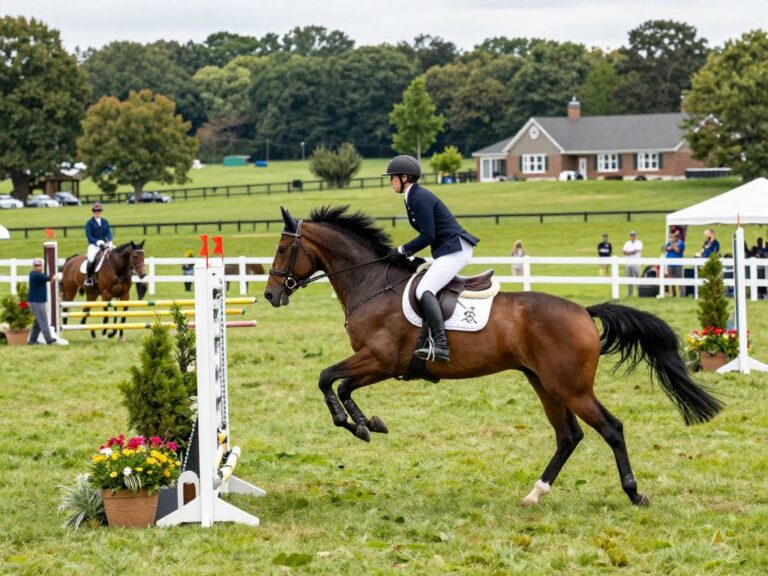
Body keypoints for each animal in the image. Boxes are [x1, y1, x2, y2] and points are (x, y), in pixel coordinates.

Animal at [263, 206, 724, 507]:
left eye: (284, 249)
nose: (270, 295)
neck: (373, 284)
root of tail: (582, 311)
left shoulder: (380, 360)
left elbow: (329, 378)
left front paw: (355, 423)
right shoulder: (376, 363)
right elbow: (339, 384)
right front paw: (366, 423)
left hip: (570, 386)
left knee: (610, 428)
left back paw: (633, 492)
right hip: (544, 383)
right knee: (568, 436)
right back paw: (535, 493)